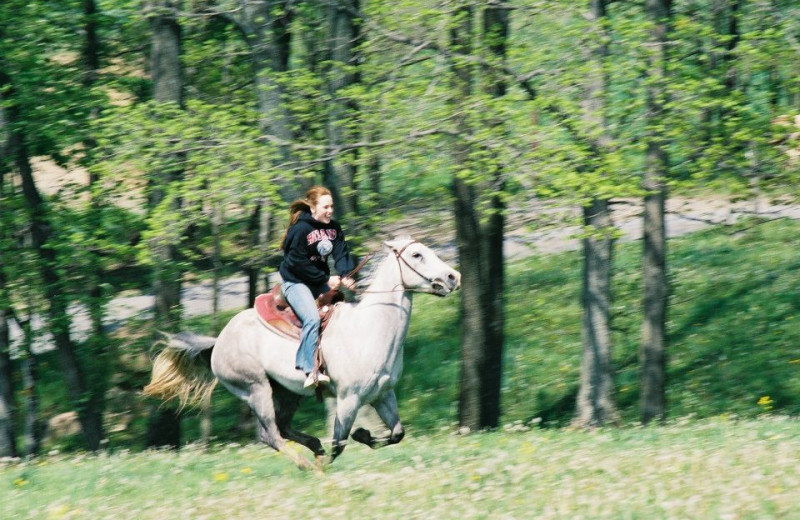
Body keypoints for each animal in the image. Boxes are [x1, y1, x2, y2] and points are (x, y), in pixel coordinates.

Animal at [141, 238, 460, 470]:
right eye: (417, 255)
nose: (452, 276)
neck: (370, 328)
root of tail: (219, 341)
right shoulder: (349, 398)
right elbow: (340, 443)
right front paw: (331, 460)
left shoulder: (384, 394)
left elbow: (396, 433)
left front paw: (364, 436)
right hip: (256, 389)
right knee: (269, 434)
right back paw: (306, 464)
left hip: (286, 392)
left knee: (282, 428)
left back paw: (313, 447)